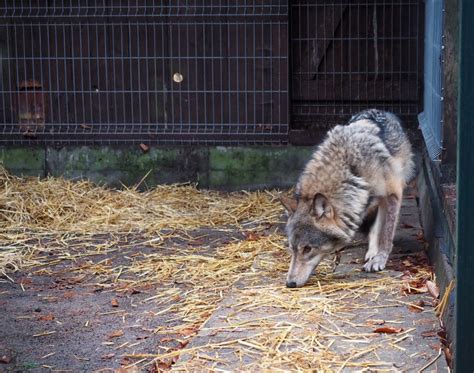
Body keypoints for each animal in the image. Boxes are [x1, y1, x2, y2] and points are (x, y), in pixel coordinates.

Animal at [282, 109, 414, 286]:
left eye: (307, 249)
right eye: (292, 248)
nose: (290, 284)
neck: (350, 168)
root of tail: (379, 110)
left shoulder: (394, 192)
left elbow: (387, 233)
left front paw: (380, 259)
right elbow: (376, 228)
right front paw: (374, 254)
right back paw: (371, 252)